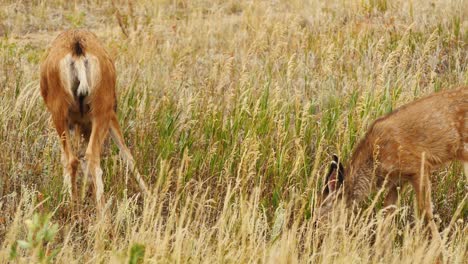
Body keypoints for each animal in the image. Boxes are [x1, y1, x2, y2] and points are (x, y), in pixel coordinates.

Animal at [318, 87, 468, 239]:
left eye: (320, 213)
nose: (316, 233)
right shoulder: (398, 180)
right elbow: (386, 212)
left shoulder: (418, 165)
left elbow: (425, 211)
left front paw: (439, 245)